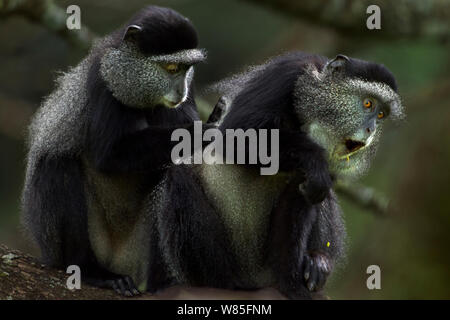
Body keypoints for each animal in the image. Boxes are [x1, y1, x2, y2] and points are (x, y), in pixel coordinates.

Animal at [20, 5, 204, 296]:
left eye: (187, 69)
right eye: (171, 67)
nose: (180, 91)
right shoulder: (103, 80)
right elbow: (109, 155)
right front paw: (205, 132)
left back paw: (163, 285)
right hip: (62, 243)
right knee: (57, 161)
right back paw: (88, 271)